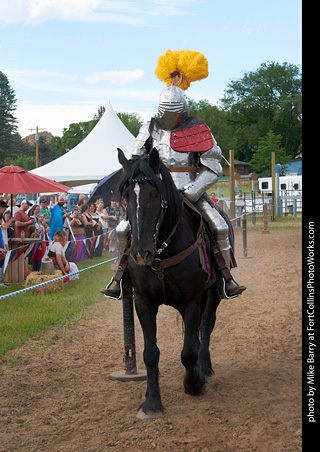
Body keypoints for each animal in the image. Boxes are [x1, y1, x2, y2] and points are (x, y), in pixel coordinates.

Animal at [116, 148, 221, 420]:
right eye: (126, 195)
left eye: (155, 194)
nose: (140, 252)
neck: (162, 252)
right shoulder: (143, 303)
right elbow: (150, 353)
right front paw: (152, 401)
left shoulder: (191, 301)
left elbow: (189, 351)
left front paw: (193, 383)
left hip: (213, 292)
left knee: (206, 325)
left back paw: (205, 368)